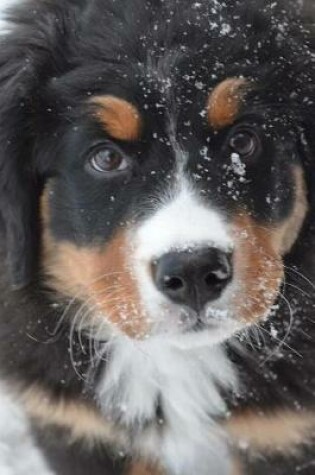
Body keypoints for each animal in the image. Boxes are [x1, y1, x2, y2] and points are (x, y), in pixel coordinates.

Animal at [0, 0, 315, 474]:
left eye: (243, 140)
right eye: (106, 158)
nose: (194, 270)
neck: (180, 360)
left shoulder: (285, 436)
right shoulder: (80, 430)